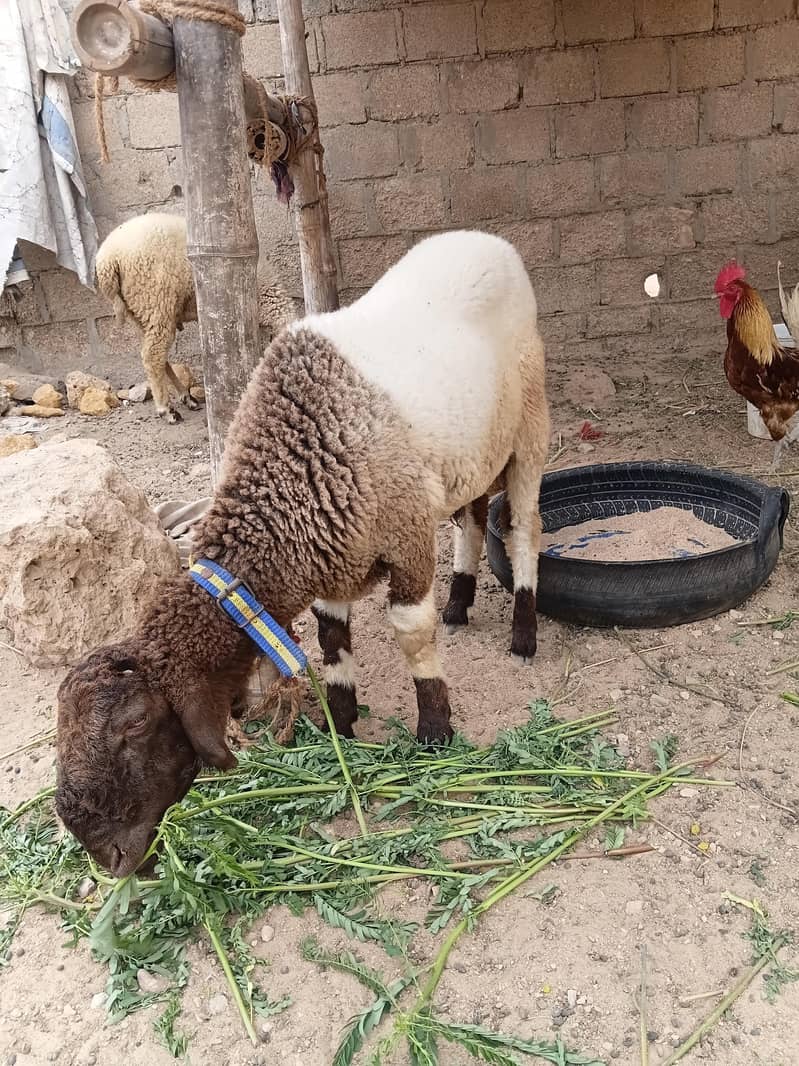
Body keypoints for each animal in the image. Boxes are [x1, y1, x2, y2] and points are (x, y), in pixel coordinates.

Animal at [95, 213, 297, 423]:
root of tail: (106, 261)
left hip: (139, 312)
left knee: (157, 355)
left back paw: (186, 397)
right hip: (156, 301)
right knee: (153, 355)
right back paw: (166, 409)